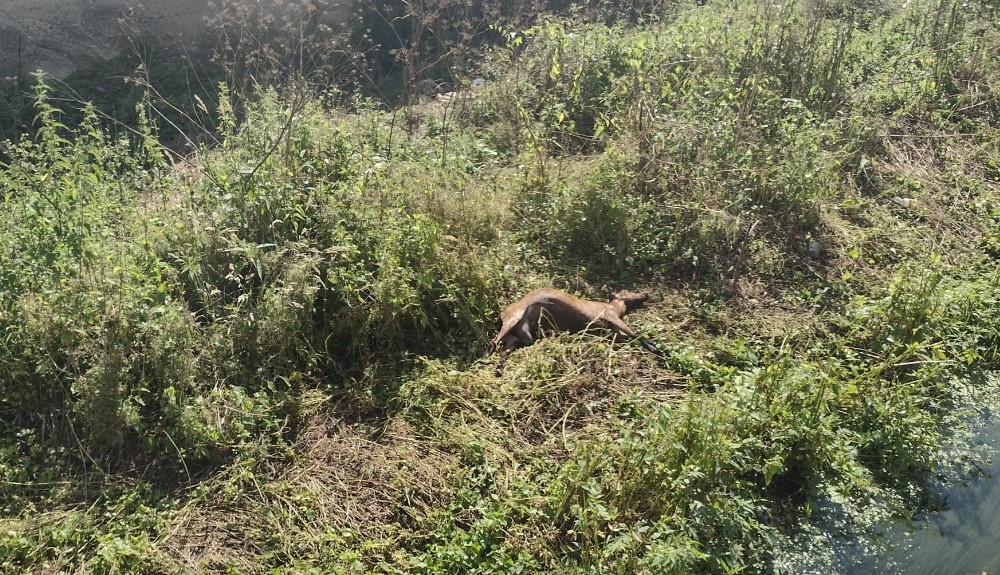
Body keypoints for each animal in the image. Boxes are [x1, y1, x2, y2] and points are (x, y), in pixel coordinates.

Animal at [488, 288, 660, 378]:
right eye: (626, 291)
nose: (646, 295)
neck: (616, 308)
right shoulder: (610, 316)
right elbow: (635, 333)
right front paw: (654, 347)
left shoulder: (615, 331)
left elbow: (628, 337)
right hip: (513, 318)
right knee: (494, 342)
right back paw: (489, 355)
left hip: (520, 336)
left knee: (506, 349)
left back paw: (500, 369)